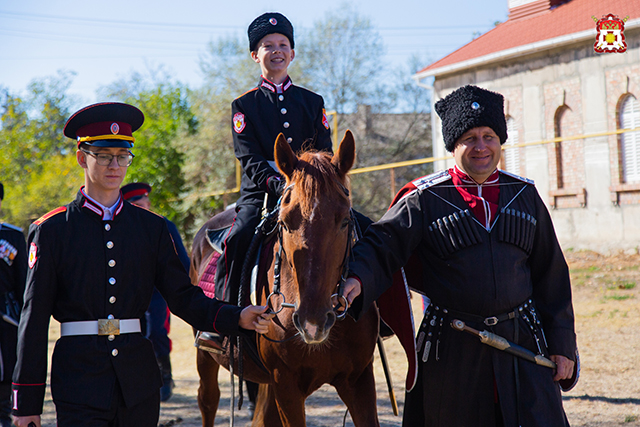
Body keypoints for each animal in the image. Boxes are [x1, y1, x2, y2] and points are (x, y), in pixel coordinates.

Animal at [190, 132, 380, 426]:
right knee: (208, 401)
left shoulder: (359, 380)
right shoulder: (286, 384)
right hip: (206, 356)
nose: (313, 323)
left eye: (344, 220)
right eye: (285, 222)